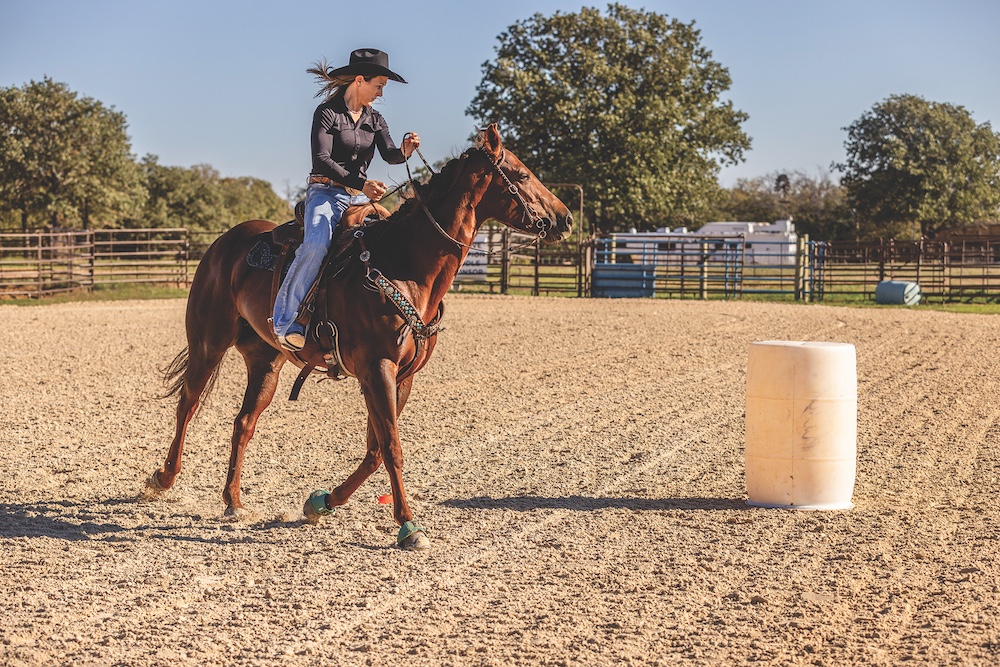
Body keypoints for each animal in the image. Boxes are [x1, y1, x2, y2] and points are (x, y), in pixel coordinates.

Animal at [145, 124, 573, 550]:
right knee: (187, 405)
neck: (405, 265)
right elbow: (392, 448)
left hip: (266, 361)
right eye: (522, 175)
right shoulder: (377, 369)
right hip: (208, 343)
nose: (565, 219)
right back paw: (162, 478)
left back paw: (233, 501)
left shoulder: (401, 376)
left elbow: (375, 450)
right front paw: (409, 526)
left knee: (243, 422)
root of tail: (222, 244)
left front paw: (321, 502)